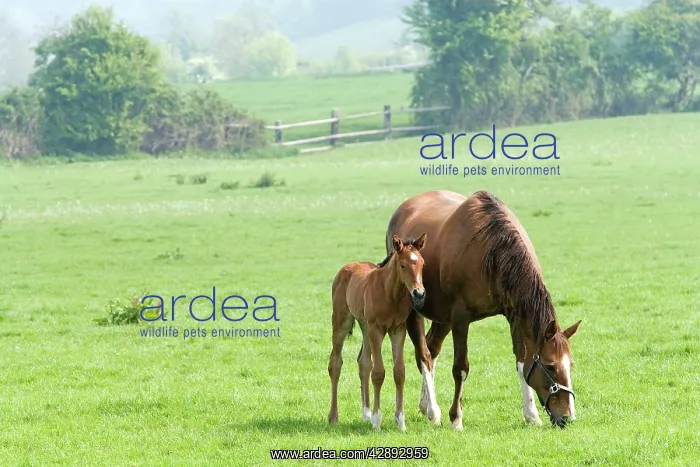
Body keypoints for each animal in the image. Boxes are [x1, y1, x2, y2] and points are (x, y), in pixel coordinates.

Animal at [327, 233, 428, 431]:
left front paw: (400, 422)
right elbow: (378, 373)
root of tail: (347, 267)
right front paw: (377, 421)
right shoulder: (377, 329)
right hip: (342, 321)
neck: (391, 294)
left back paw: (365, 415)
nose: (419, 293)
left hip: (365, 326)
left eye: (422, 263)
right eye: (403, 265)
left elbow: (399, 372)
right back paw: (334, 416)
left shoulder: (398, 329)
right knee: (335, 362)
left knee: (363, 362)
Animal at [384, 190, 582, 429]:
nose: (568, 416)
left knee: (432, 349)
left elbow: (522, 362)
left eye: (570, 364)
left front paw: (531, 415)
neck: (492, 251)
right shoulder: (460, 317)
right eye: (551, 366)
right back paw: (433, 409)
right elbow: (460, 368)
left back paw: (426, 406)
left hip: (443, 317)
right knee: (424, 355)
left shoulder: (515, 315)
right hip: (419, 311)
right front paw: (456, 418)